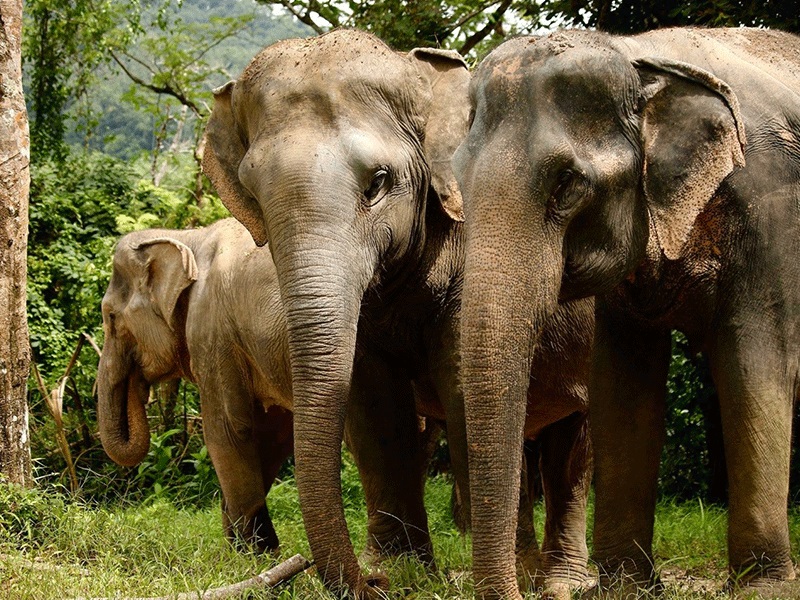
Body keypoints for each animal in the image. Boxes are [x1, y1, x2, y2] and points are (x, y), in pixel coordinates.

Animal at [95, 218, 292, 552]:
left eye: (110, 316)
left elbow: (228, 431)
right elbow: (272, 434)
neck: (189, 238)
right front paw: (250, 548)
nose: (140, 389)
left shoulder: (212, 330)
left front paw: (251, 554)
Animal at [203, 29, 596, 600]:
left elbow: (462, 389)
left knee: (574, 447)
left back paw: (559, 583)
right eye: (252, 194)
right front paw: (404, 570)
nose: (372, 582)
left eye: (378, 182)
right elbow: (374, 404)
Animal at [454, 25, 800, 596]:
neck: (641, 55)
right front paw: (623, 586)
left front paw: (765, 588)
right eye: (459, 181)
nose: (521, 587)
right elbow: (623, 383)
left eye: (567, 185)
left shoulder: (770, 208)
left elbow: (754, 365)